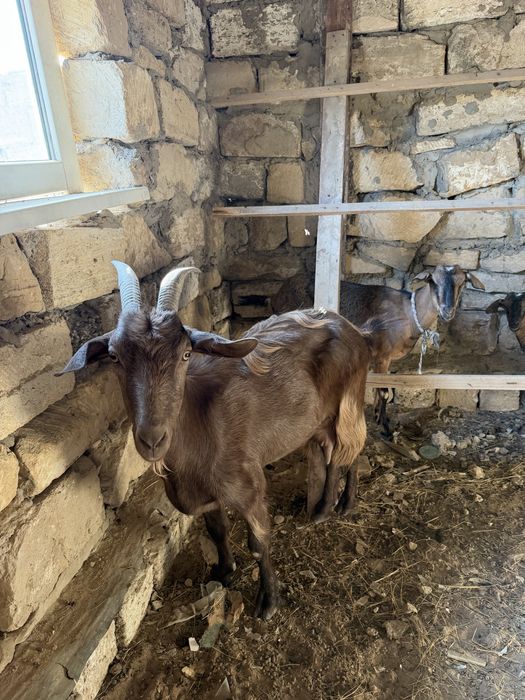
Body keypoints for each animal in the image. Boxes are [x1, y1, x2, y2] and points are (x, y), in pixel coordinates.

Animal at [59, 262, 372, 619]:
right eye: (113, 356)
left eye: (185, 354)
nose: (152, 440)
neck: (200, 426)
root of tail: (355, 331)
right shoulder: (206, 494)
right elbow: (217, 530)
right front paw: (223, 572)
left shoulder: (249, 488)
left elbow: (259, 544)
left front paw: (268, 601)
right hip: (319, 421)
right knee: (332, 451)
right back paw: (326, 505)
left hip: (349, 403)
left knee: (350, 448)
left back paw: (339, 505)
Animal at [339, 265, 485, 438]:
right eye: (433, 281)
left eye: (462, 282)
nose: (447, 311)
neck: (407, 313)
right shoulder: (382, 356)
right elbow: (384, 392)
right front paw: (386, 429)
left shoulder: (380, 359)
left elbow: (377, 388)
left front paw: (377, 417)